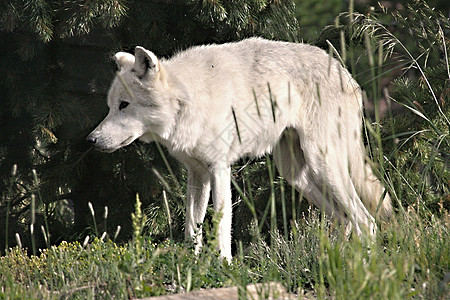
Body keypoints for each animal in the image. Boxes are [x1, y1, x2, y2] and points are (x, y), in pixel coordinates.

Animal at [87, 37, 390, 258]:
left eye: (124, 105)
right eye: (110, 107)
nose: (91, 140)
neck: (188, 99)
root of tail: (345, 72)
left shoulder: (219, 169)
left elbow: (221, 223)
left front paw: (224, 265)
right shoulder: (197, 175)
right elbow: (192, 226)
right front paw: (191, 264)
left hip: (323, 164)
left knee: (366, 220)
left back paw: (364, 266)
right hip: (296, 174)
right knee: (345, 219)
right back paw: (334, 260)